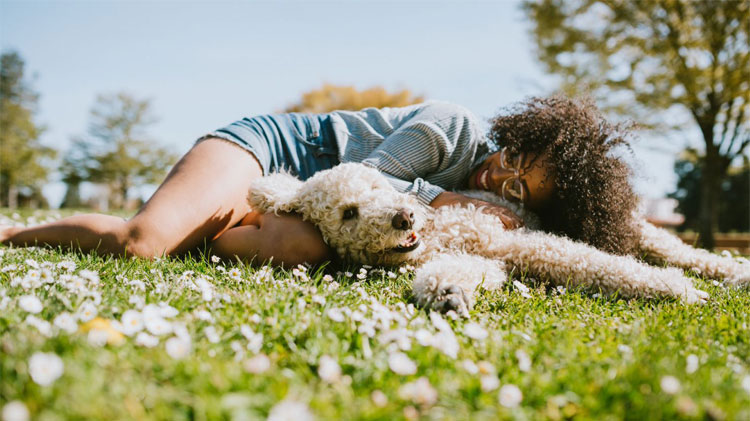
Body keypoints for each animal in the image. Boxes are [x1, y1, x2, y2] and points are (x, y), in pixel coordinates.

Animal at [250, 162, 748, 314]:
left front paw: (676, 290)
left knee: (683, 252)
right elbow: (455, 275)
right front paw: (448, 292)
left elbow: (599, 263)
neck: (438, 237)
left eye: (377, 187)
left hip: (644, 232)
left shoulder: (515, 240)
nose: (403, 216)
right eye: (349, 213)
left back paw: (732, 273)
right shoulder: (488, 259)